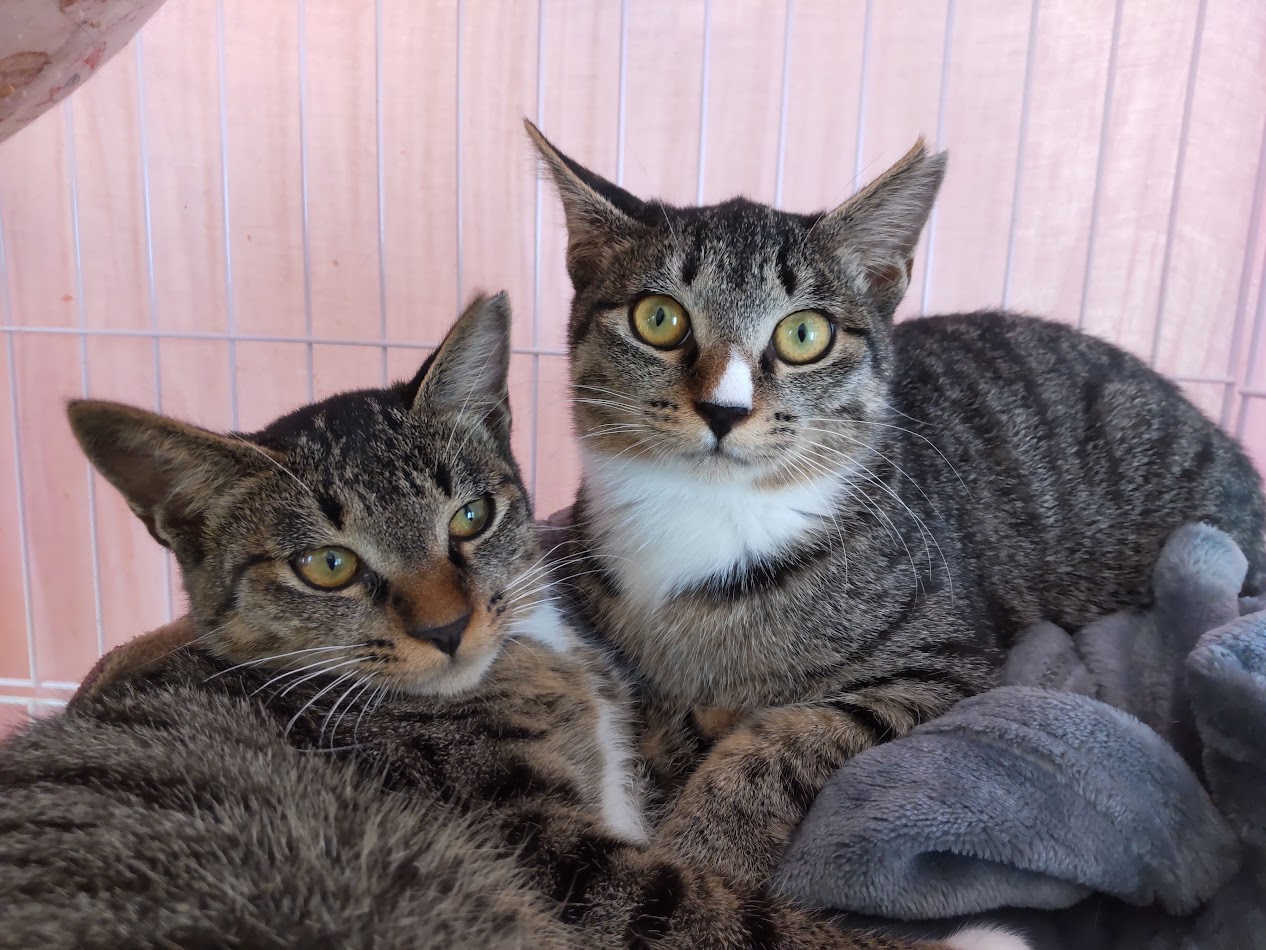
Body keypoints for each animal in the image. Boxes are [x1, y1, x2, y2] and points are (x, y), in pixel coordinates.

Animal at [0, 293, 1016, 950]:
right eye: (328, 565)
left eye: (470, 517)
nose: (448, 627)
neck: (535, 659)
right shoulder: (556, 858)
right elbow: (707, 910)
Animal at [525, 120, 1266, 888]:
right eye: (658, 318)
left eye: (804, 334)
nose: (724, 410)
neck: (707, 516)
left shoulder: (943, 664)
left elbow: (790, 737)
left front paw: (707, 854)